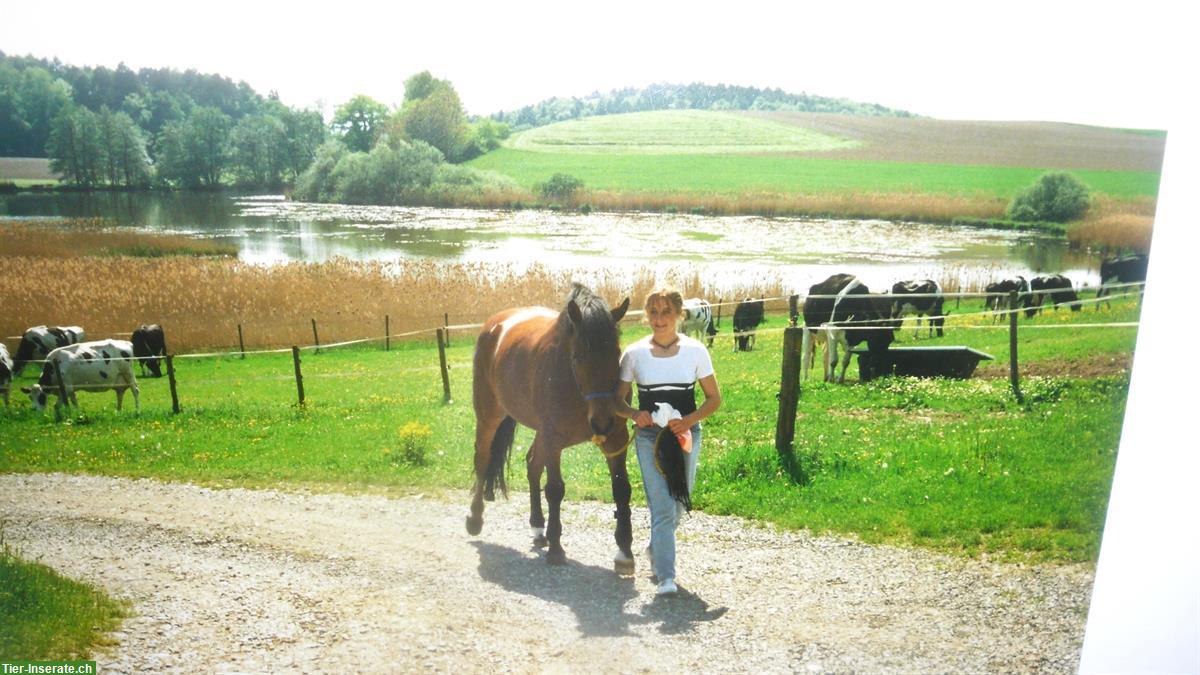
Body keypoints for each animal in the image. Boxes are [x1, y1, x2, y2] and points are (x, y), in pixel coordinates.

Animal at [468, 281, 638, 569]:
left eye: (616, 354)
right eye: (578, 356)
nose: (602, 422)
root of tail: (493, 326)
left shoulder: (616, 439)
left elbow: (621, 489)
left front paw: (625, 550)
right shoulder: (554, 440)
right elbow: (555, 490)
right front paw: (557, 548)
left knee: (532, 465)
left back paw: (538, 528)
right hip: (490, 417)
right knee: (483, 460)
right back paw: (475, 519)